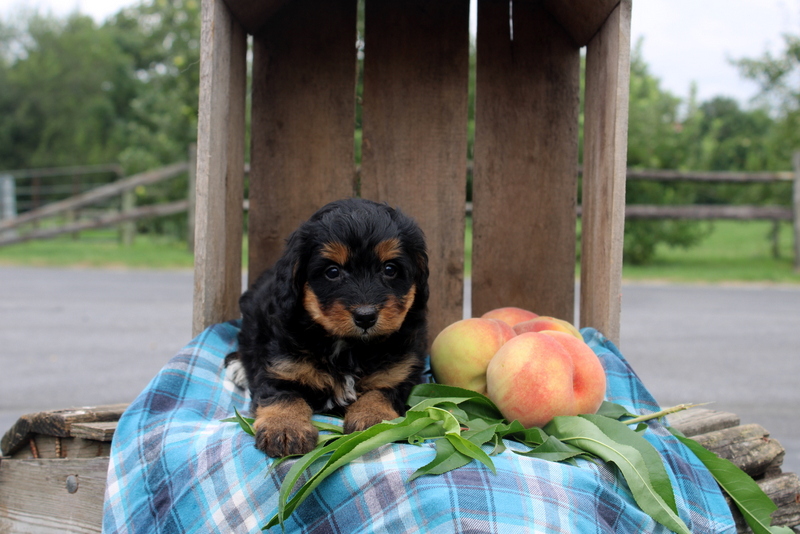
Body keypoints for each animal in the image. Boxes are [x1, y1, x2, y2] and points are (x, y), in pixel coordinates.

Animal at [228, 199, 428, 458]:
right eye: (332, 272)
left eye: (390, 269)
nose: (366, 317)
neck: (350, 347)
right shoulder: (281, 367)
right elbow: (283, 396)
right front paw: (285, 428)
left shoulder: (398, 373)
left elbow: (380, 392)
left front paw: (373, 419)